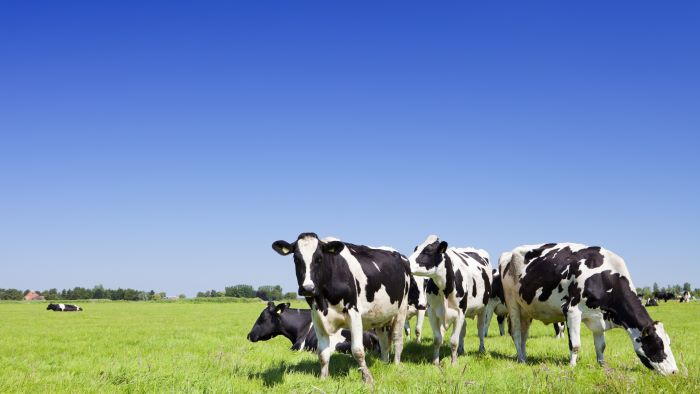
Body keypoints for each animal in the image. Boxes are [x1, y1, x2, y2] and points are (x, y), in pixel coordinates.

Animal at [272, 232, 412, 384]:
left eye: (319, 258)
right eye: (296, 259)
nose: (308, 288)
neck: (324, 301)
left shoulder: (354, 313)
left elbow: (357, 350)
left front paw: (367, 379)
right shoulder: (317, 317)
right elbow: (323, 353)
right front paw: (323, 378)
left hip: (401, 309)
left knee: (397, 338)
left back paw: (396, 365)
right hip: (381, 316)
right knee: (384, 341)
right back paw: (384, 363)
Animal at [404, 234, 492, 366]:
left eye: (427, 251)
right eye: (416, 249)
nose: (406, 263)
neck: (444, 288)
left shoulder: (459, 312)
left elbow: (453, 340)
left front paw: (453, 363)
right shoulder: (432, 312)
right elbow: (437, 339)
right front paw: (436, 362)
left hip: (483, 308)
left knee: (480, 329)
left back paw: (481, 350)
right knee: (463, 330)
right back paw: (461, 350)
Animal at [500, 243, 676, 376]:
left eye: (669, 342)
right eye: (658, 344)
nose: (675, 372)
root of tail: (508, 253)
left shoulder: (599, 318)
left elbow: (601, 346)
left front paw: (603, 366)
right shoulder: (571, 311)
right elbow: (575, 344)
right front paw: (572, 367)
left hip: (526, 310)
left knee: (524, 335)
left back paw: (524, 357)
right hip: (512, 303)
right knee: (516, 333)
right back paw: (521, 359)